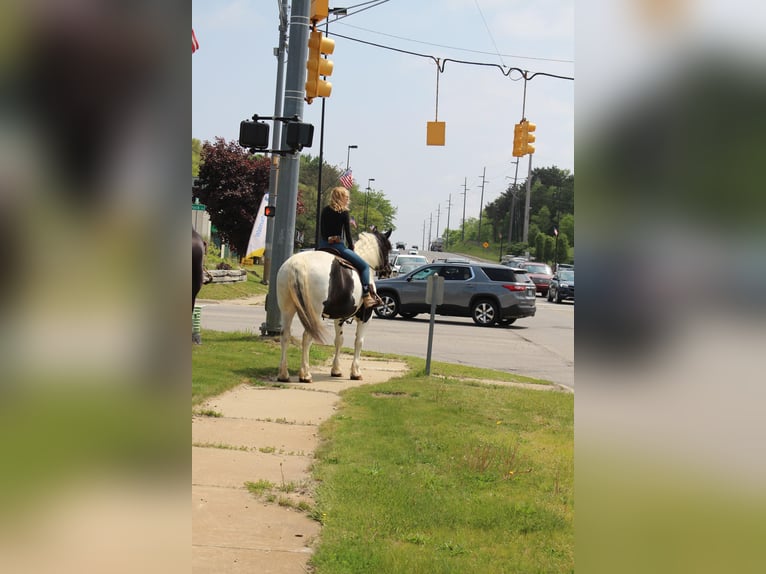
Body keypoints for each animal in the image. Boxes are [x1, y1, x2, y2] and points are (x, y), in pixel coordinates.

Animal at [278, 228, 392, 382]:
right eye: (388, 248)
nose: (389, 270)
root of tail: (297, 263)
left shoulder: (339, 317)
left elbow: (339, 340)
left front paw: (336, 370)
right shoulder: (366, 316)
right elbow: (359, 341)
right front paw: (355, 372)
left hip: (287, 309)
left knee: (285, 335)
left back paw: (284, 374)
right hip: (314, 313)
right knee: (307, 337)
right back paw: (305, 374)